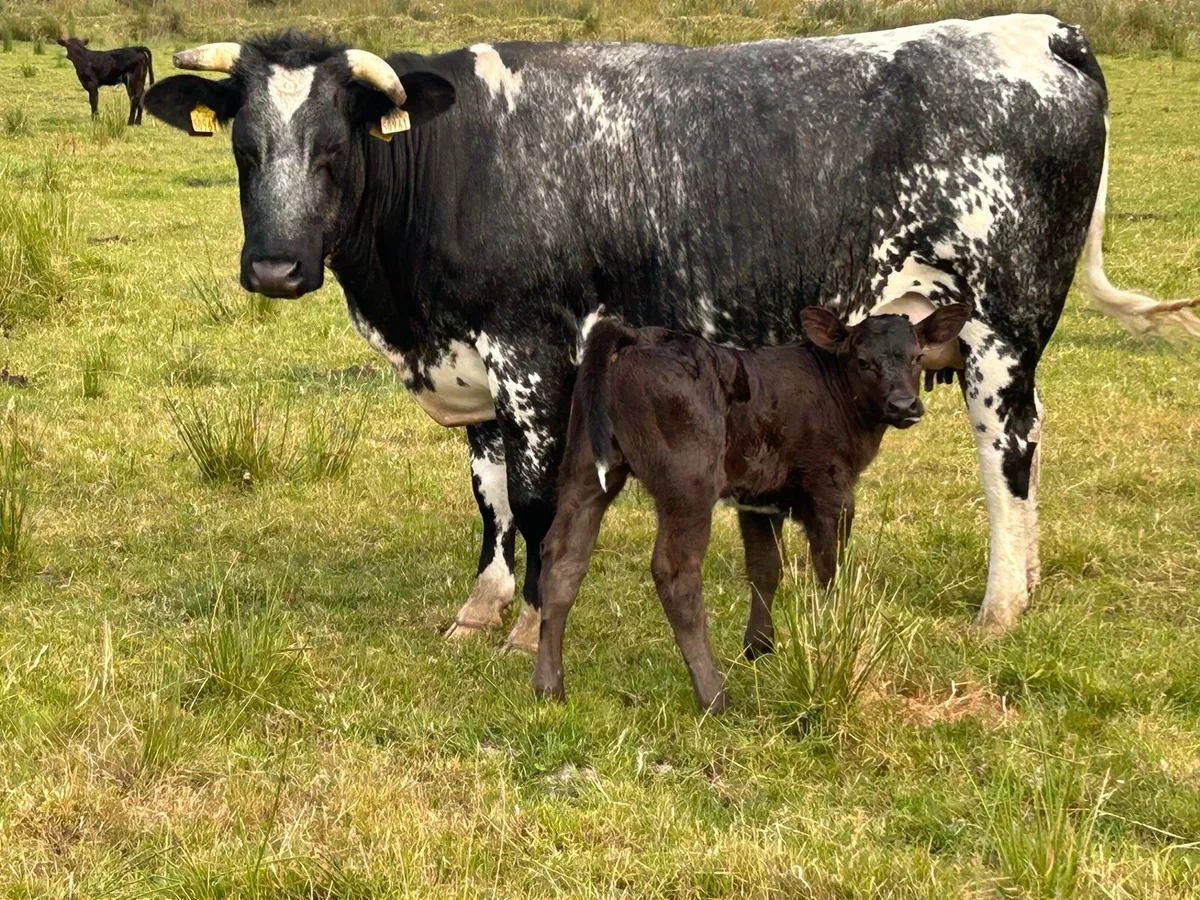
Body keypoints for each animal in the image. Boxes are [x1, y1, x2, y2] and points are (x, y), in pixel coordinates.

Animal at [143, 17, 1200, 655]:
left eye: (334, 149)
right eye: (244, 148)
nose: (275, 270)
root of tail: (1039, 29)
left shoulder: (534, 355)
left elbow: (535, 500)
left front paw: (531, 624)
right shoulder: (473, 368)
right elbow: (488, 497)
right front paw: (480, 607)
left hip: (999, 329)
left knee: (1005, 452)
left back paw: (1001, 606)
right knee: (1034, 439)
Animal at [534, 305, 971, 710]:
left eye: (916, 356)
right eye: (863, 361)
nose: (904, 404)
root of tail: (635, 335)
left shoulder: (760, 499)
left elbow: (765, 567)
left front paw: (759, 647)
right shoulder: (831, 489)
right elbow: (831, 569)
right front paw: (832, 637)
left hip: (585, 469)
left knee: (563, 557)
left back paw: (548, 687)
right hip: (688, 482)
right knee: (675, 572)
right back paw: (714, 696)